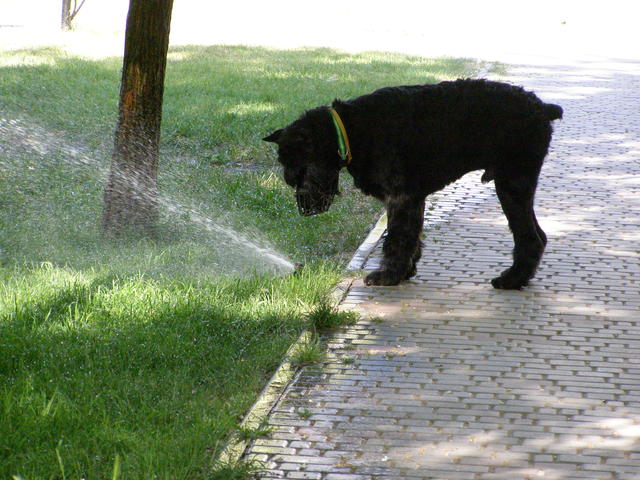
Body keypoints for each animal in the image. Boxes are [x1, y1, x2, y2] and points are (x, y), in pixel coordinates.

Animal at [264, 79, 563, 289]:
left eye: (299, 170)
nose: (304, 209)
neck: (351, 129)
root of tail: (542, 109)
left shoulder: (401, 197)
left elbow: (396, 238)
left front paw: (387, 274)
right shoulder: (413, 199)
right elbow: (410, 237)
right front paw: (405, 271)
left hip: (511, 185)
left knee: (530, 237)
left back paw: (511, 280)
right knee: (538, 235)